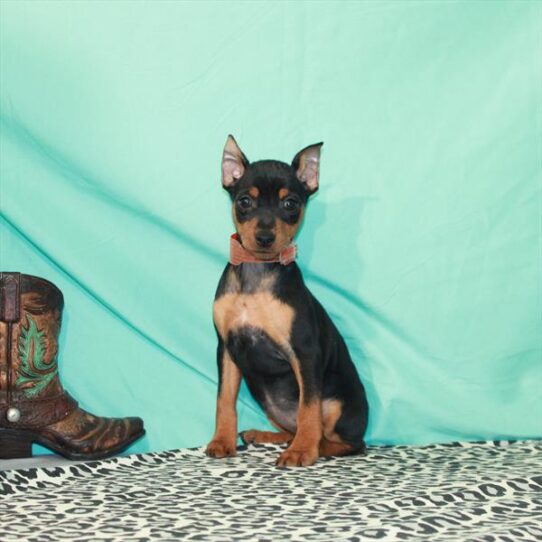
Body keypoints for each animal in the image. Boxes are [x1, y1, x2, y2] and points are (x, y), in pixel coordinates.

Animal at [207, 136, 370, 468]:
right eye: (244, 202)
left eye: (290, 204)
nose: (265, 237)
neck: (257, 273)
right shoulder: (227, 349)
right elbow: (224, 400)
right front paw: (222, 441)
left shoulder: (305, 353)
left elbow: (308, 407)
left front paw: (302, 451)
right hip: (265, 397)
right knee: (291, 425)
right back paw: (265, 435)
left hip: (336, 404)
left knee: (347, 441)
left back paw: (314, 445)